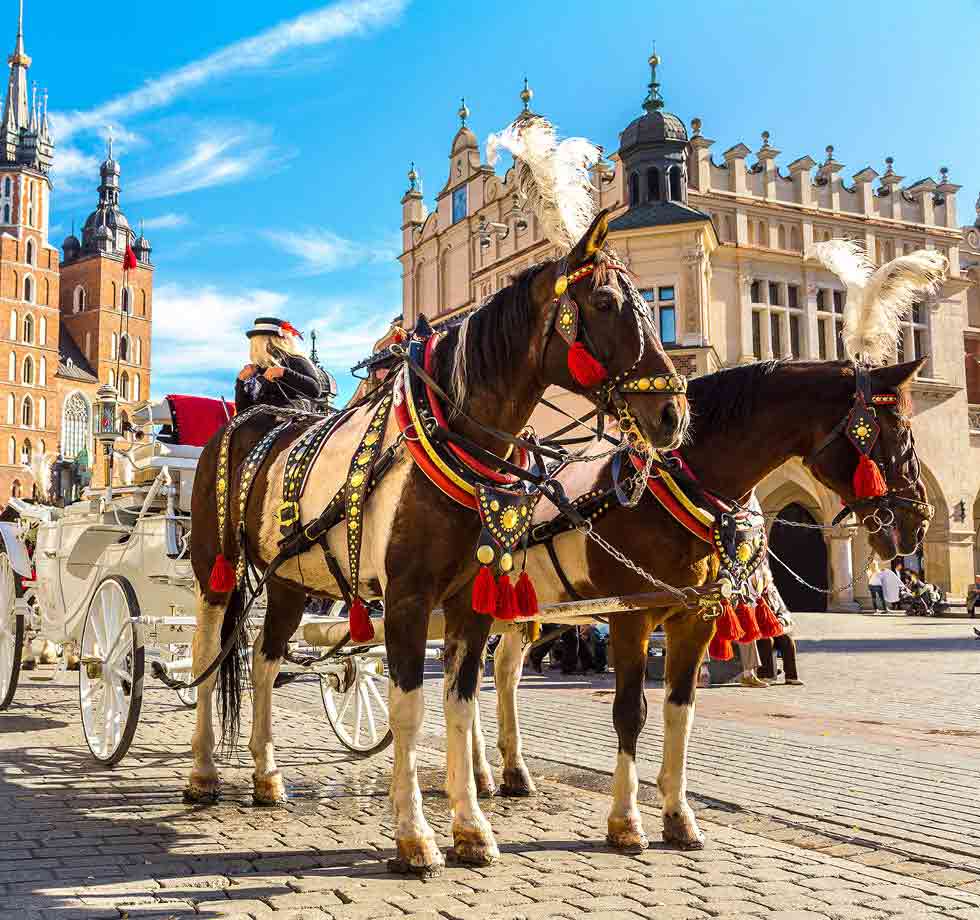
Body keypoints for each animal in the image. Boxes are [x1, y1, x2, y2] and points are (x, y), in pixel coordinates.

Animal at [186, 210, 688, 876]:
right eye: (605, 302)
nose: (674, 414)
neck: (451, 438)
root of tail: (249, 420)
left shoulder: (469, 603)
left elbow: (460, 705)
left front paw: (472, 829)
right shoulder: (406, 599)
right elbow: (409, 710)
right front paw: (414, 835)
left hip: (290, 578)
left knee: (265, 663)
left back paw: (267, 777)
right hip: (213, 565)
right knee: (208, 654)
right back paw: (202, 772)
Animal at [486, 360, 932, 856]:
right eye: (899, 432)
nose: (919, 520)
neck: (670, 490)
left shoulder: (695, 618)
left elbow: (680, 709)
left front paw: (679, 817)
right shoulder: (630, 618)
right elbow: (630, 712)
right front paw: (625, 821)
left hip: (523, 612)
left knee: (502, 672)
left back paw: (506, 773)